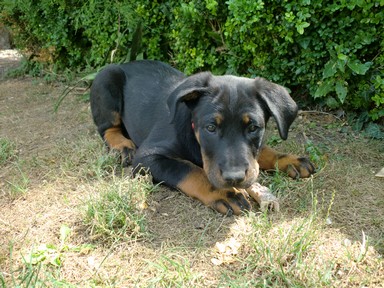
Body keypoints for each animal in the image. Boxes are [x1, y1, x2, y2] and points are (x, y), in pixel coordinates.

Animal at [90, 59, 316, 215]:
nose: (234, 178)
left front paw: (290, 160)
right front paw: (225, 193)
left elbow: (263, 151)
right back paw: (122, 146)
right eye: (210, 127)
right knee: (108, 129)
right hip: (107, 78)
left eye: (253, 127)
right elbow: (190, 170)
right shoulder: (148, 157)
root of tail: (126, 63)